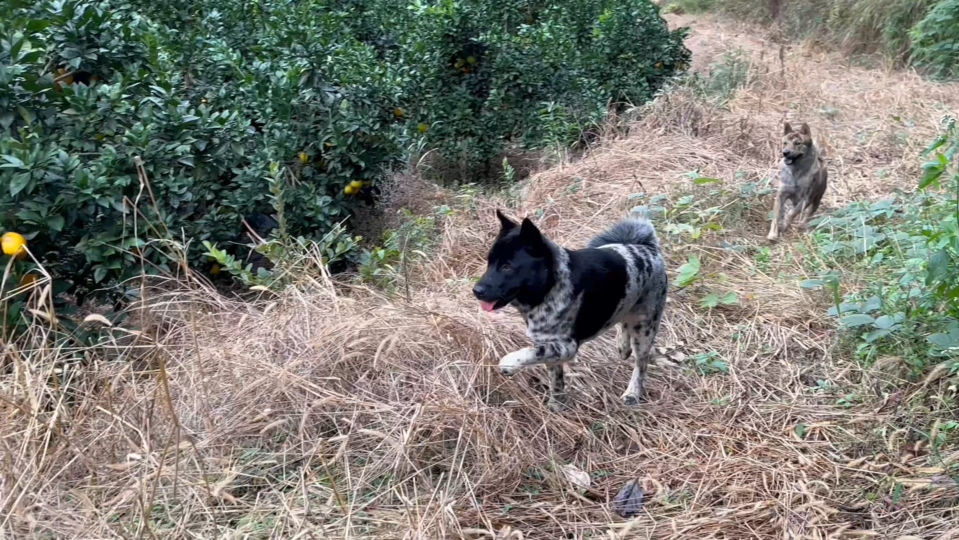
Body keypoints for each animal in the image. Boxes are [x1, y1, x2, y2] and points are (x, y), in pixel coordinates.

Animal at [472, 211, 668, 410]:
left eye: (507, 266)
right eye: (489, 263)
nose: (476, 290)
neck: (550, 287)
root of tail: (647, 247)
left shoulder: (567, 346)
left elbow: (535, 352)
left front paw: (511, 362)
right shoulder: (550, 346)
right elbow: (555, 379)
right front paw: (556, 405)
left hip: (645, 329)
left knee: (641, 363)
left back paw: (633, 392)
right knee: (625, 326)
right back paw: (623, 346)